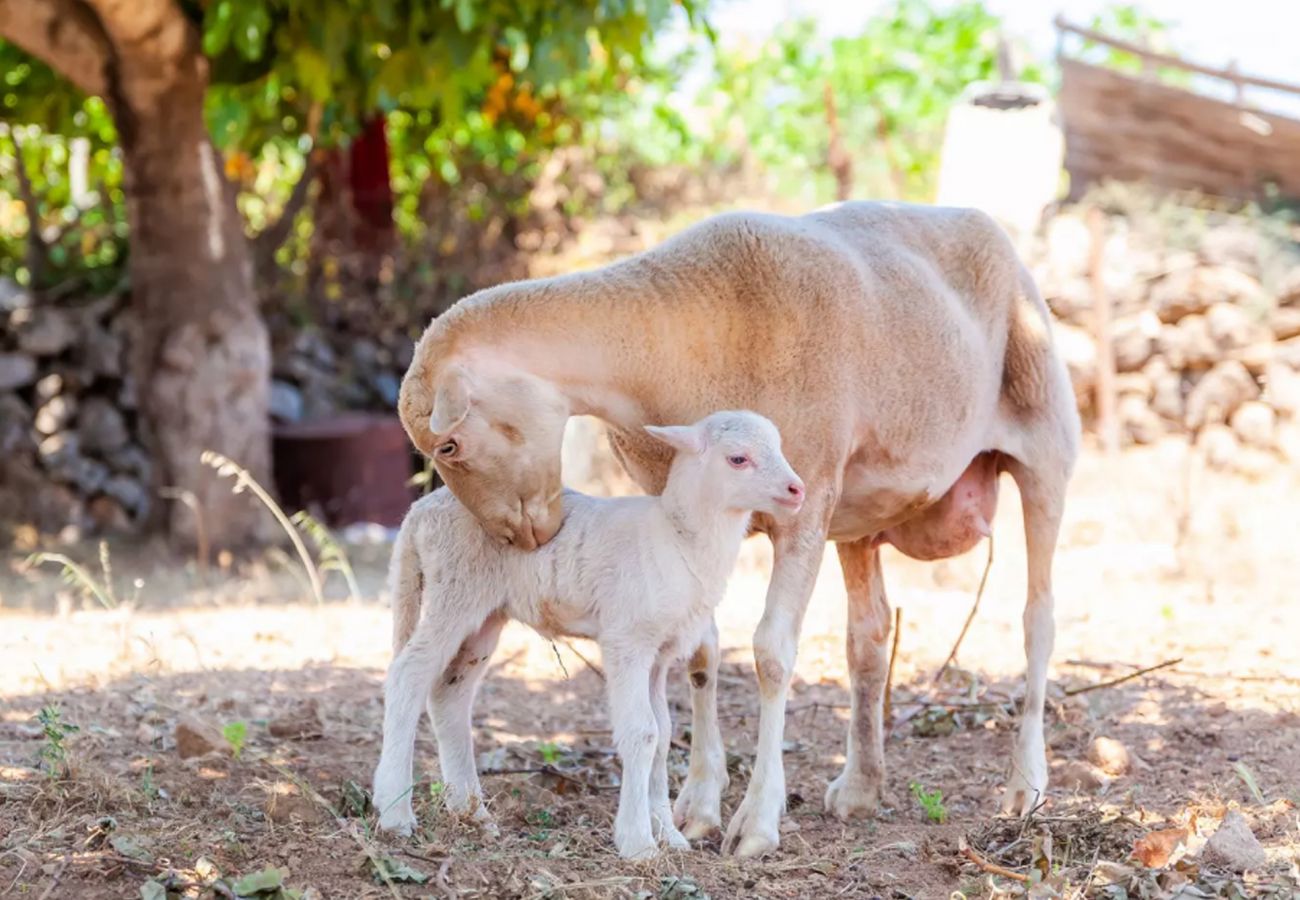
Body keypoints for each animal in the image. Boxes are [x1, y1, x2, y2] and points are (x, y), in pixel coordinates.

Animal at [371, 408, 806, 858]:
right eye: (738, 459)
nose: (798, 490)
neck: (679, 536)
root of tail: (418, 512)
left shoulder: (659, 652)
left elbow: (663, 734)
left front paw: (669, 835)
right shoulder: (627, 640)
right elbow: (642, 732)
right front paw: (638, 842)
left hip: (486, 613)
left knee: (449, 693)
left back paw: (471, 811)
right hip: (454, 591)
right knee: (407, 675)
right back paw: (395, 813)